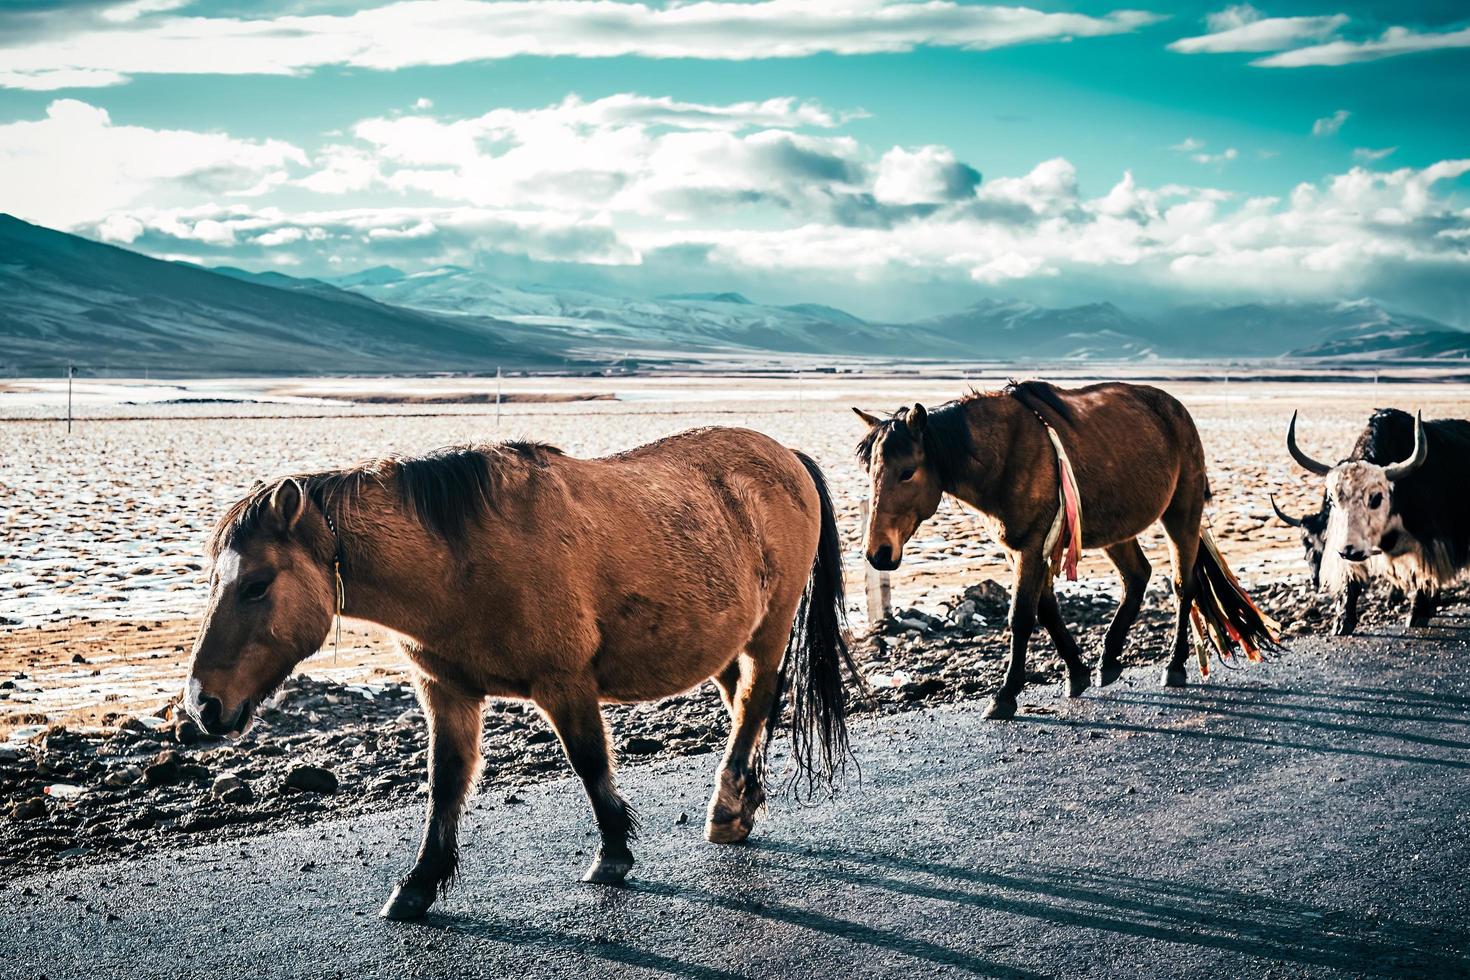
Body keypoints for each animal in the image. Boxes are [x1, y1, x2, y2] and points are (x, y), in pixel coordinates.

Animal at [179, 426, 858, 922]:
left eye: (256, 584)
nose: (202, 705)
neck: (457, 562)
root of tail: (787, 457)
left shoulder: (564, 683)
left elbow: (590, 763)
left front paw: (613, 855)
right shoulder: (447, 691)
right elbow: (445, 783)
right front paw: (419, 884)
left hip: (768, 632)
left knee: (757, 700)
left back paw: (727, 807)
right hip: (722, 644)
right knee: (747, 706)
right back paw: (744, 802)